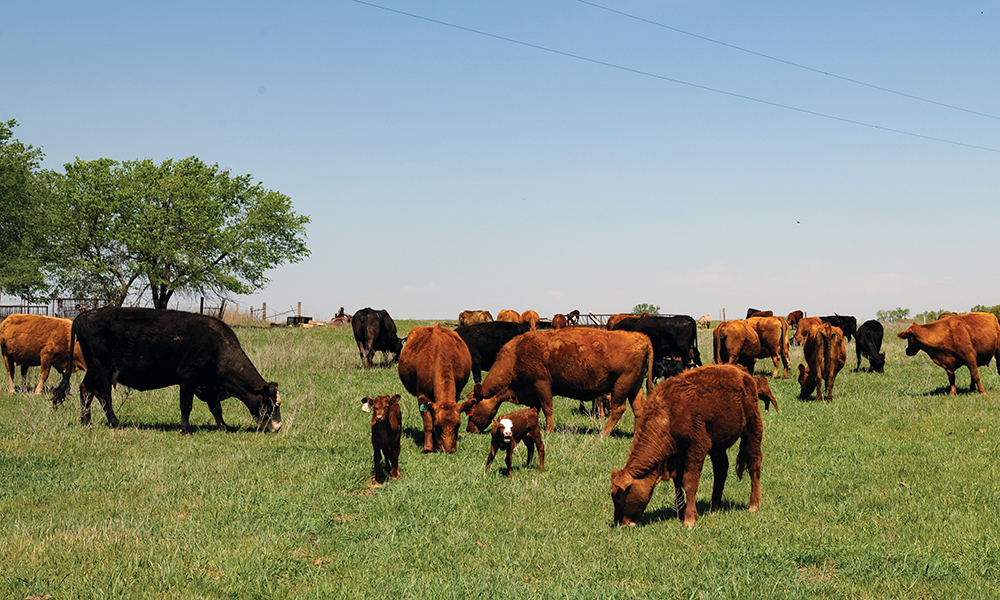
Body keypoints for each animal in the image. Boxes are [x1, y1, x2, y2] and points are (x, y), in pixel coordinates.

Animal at [49, 306, 282, 434]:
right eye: (271, 404)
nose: (278, 426)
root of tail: (85, 314)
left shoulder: (207, 384)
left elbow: (216, 408)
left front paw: (223, 427)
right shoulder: (188, 378)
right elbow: (186, 406)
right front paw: (185, 430)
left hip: (94, 369)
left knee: (86, 390)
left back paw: (86, 421)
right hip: (101, 368)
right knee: (104, 395)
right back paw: (115, 423)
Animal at [397, 324, 472, 453]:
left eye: (458, 425)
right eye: (437, 426)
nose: (448, 450)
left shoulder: (457, 393)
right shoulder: (422, 396)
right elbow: (428, 423)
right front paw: (428, 447)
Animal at [461, 328, 653, 437]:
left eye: (472, 410)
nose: (469, 429)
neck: (515, 355)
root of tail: (641, 337)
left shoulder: (542, 384)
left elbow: (547, 408)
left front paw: (549, 430)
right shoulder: (533, 393)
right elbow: (535, 410)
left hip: (621, 385)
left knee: (617, 409)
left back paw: (603, 433)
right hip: (634, 386)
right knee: (639, 409)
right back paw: (638, 434)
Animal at [611, 364, 763, 528]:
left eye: (619, 496)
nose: (620, 524)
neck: (669, 413)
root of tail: (740, 370)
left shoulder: (696, 447)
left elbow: (689, 482)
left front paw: (689, 519)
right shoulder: (676, 456)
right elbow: (677, 483)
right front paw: (680, 511)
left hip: (753, 429)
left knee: (754, 464)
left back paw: (754, 505)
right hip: (718, 444)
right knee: (721, 469)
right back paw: (714, 508)